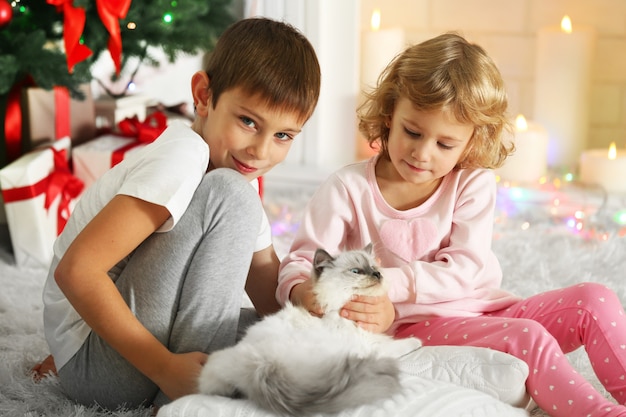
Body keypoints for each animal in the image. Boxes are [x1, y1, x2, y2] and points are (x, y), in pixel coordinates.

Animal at [196, 245, 420, 414]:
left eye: (374, 268)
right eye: (356, 271)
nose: (377, 274)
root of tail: (260, 365)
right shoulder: (369, 344)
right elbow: (400, 344)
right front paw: (417, 341)